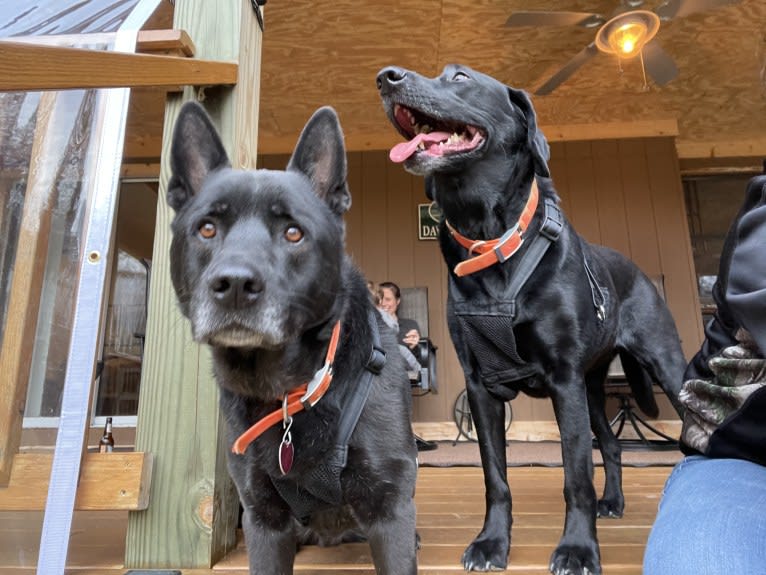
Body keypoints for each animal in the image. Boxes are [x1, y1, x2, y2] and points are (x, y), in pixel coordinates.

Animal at [166, 102, 420, 575]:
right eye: (207, 229)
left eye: (293, 233)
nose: (234, 285)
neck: (290, 393)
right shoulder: (264, 519)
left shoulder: (388, 507)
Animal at [380, 64, 688, 575]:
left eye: (459, 76)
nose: (386, 77)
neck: (491, 243)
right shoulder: (482, 387)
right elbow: (496, 479)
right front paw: (491, 543)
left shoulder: (563, 381)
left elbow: (576, 476)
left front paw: (578, 550)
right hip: (591, 389)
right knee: (612, 444)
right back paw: (613, 502)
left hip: (662, 368)